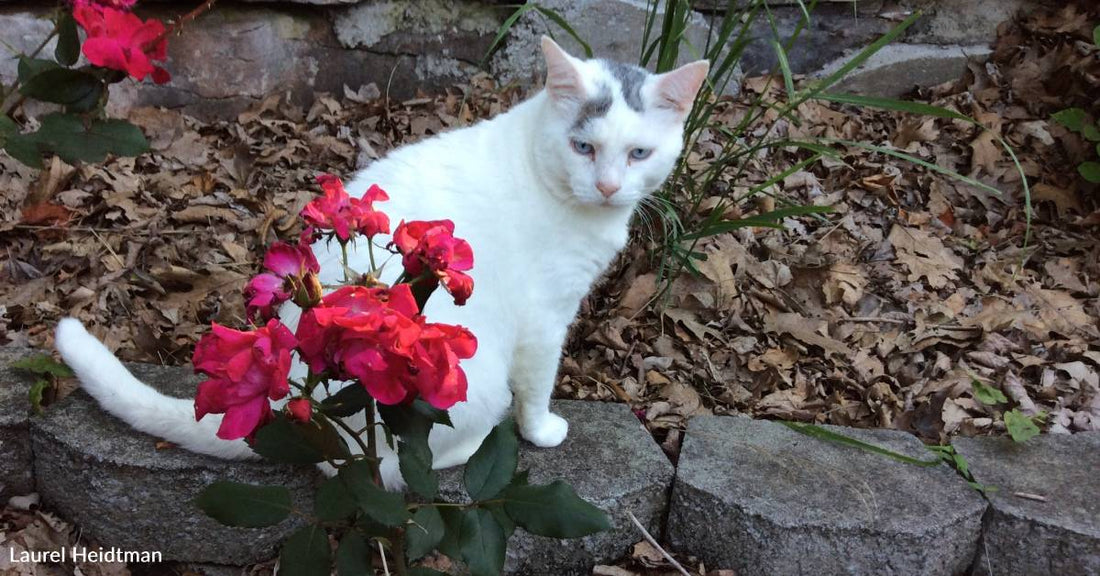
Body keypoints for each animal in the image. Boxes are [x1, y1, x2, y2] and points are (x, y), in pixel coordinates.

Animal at [55, 38, 708, 488]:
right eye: (583, 147)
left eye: (639, 153)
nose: (608, 186)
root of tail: (295, 390)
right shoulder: (546, 319)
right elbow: (539, 384)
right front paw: (542, 429)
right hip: (467, 381)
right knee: (386, 467)